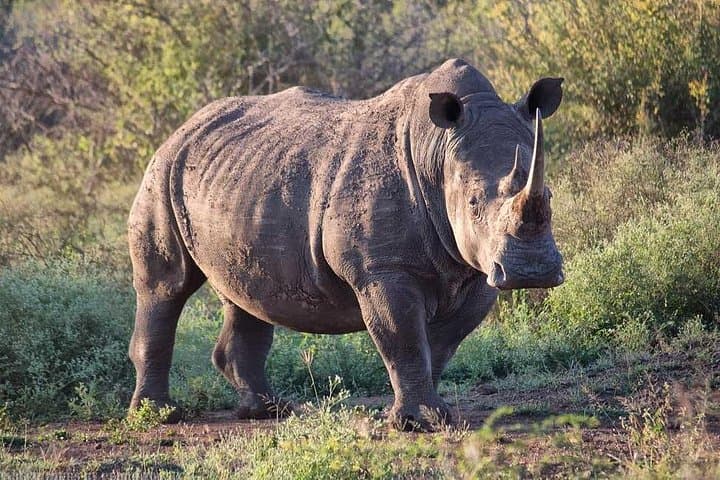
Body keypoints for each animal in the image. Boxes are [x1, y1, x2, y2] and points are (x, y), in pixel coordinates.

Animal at [128, 58, 564, 430]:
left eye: (551, 195)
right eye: (472, 204)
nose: (531, 270)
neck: (437, 152)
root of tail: (183, 127)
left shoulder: (478, 266)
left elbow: (441, 343)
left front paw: (430, 415)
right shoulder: (381, 268)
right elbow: (404, 338)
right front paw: (417, 422)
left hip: (240, 179)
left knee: (245, 292)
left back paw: (270, 411)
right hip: (162, 172)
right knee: (166, 287)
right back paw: (160, 415)